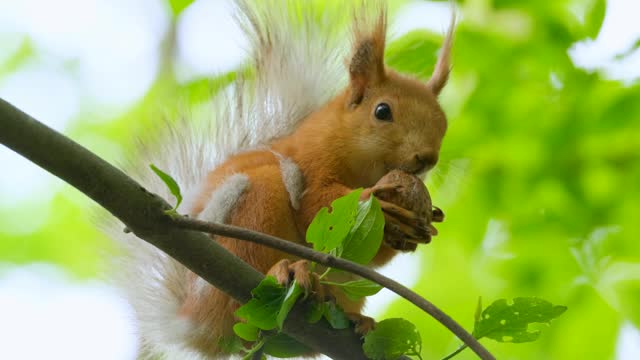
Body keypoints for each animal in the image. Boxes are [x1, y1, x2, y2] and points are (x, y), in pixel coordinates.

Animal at [104, 1, 456, 358]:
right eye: (382, 111)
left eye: (443, 123)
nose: (427, 158)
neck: (368, 168)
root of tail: (196, 324)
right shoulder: (312, 160)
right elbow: (318, 207)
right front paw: (382, 206)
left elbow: (369, 252)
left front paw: (422, 222)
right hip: (253, 212)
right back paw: (284, 271)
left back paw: (356, 319)